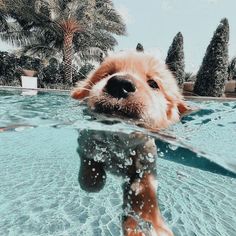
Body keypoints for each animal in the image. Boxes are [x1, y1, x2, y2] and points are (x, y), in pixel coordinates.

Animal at [70, 50, 190, 235]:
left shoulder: (146, 159)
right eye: (107, 74)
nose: (120, 83)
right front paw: (92, 179)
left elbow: (144, 191)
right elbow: (89, 156)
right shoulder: (86, 137)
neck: (119, 140)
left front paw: (147, 224)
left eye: (153, 83)